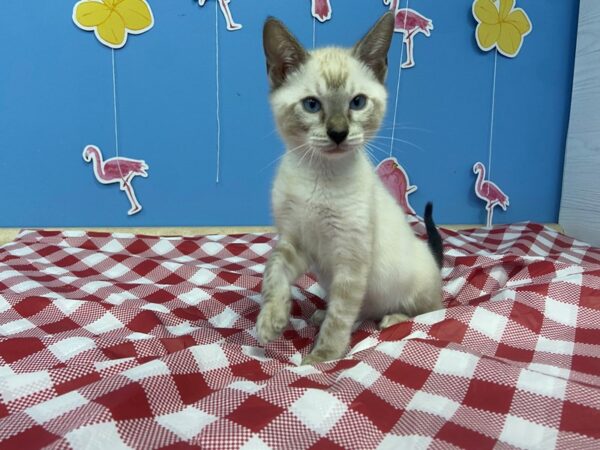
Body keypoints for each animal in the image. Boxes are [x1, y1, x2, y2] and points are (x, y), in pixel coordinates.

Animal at [255, 13, 442, 366]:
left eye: (357, 103)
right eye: (312, 105)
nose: (339, 133)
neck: (320, 175)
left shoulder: (350, 259)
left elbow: (340, 317)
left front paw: (321, 357)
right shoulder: (297, 240)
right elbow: (273, 273)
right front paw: (271, 319)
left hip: (413, 287)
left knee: (431, 309)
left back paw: (392, 318)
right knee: (363, 310)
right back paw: (320, 313)